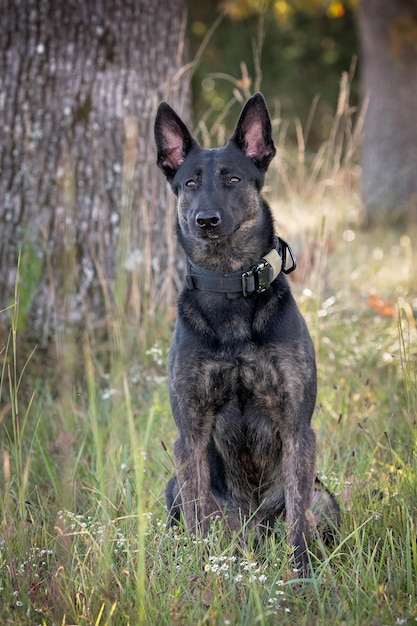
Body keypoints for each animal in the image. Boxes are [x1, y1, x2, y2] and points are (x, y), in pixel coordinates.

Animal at [153, 90, 338, 572]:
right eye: (190, 183)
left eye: (233, 179)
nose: (206, 220)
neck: (228, 283)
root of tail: (252, 531)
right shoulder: (191, 434)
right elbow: (198, 520)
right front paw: (200, 575)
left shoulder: (296, 427)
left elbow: (298, 522)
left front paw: (300, 575)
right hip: (174, 486)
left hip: (323, 496)